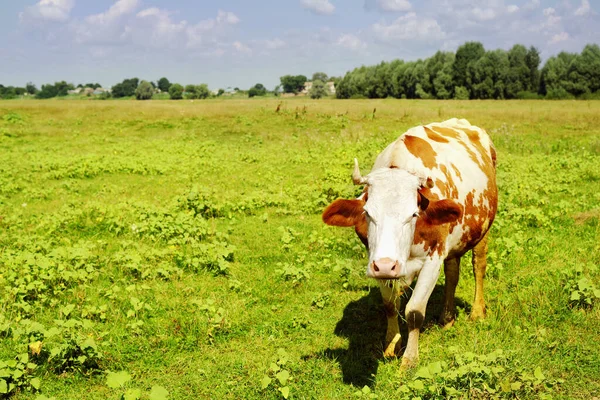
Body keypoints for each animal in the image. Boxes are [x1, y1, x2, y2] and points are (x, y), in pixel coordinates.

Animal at [324, 117, 496, 368]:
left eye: (413, 214)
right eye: (367, 212)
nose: (387, 265)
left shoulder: (433, 258)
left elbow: (414, 310)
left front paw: (410, 360)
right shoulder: (377, 260)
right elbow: (390, 305)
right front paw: (391, 344)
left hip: (483, 230)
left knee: (478, 266)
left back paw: (477, 312)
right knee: (453, 273)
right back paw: (447, 318)